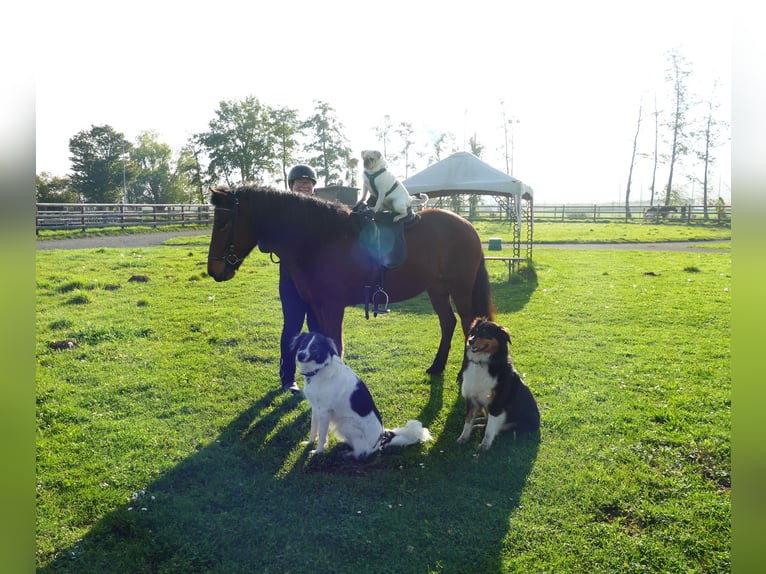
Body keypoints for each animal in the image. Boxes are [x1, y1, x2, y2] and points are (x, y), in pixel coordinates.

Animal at [208, 182, 498, 376]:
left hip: (460, 289)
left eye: (222, 223)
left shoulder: (333, 307)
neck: (322, 239)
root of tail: (468, 226)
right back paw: (437, 367)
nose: (214, 270)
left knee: (468, 324)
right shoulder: (318, 307)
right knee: (448, 323)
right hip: (437, 288)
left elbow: (336, 345)